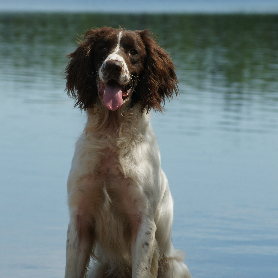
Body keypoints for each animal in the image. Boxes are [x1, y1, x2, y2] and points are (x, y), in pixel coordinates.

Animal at [64, 26, 191, 278]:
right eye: (103, 47)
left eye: (133, 52)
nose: (113, 65)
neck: (111, 137)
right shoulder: (79, 219)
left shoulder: (142, 221)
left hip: (172, 266)